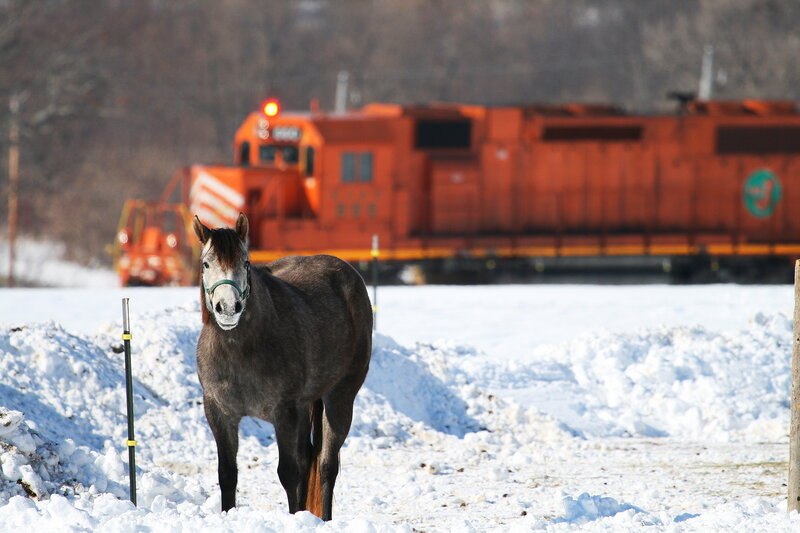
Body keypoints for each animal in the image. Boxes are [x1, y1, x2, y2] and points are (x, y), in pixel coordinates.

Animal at [192, 213, 372, 520]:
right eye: (206, 264)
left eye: (245, 262)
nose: (228, 308)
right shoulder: (219, 412)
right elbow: (227, 474)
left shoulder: (284, 412)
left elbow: (289, 473)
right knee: (308, 458)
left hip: (339, 398)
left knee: (326, 465)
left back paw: (324, 518)